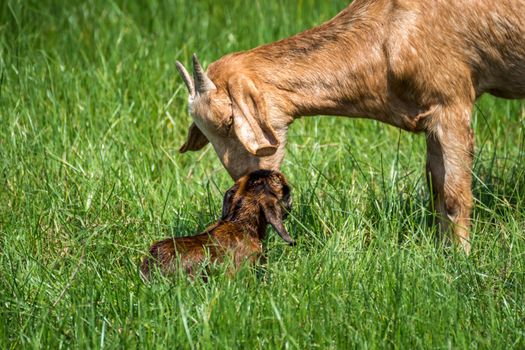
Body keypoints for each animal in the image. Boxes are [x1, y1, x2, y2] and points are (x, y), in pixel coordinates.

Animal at [175, 0, 524, 252]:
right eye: (203, 132)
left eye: (228, 121)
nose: (244, 180)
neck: (390, 32)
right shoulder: (432, 123)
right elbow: (436, 188)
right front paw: (441, 252)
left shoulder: (453, 103)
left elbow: (454, 195)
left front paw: (461, 262)